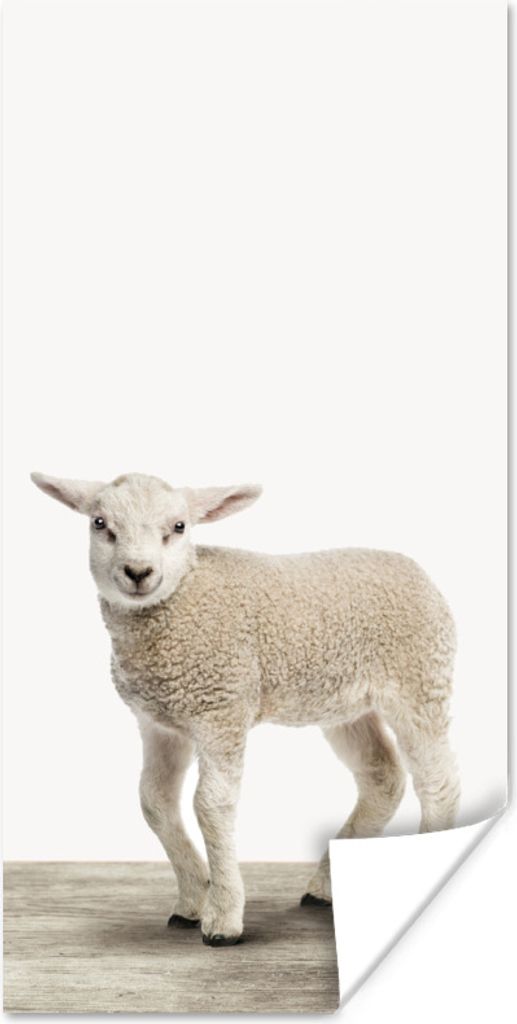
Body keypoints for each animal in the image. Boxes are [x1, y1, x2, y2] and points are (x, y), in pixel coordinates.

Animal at [31, 470, 460, 947]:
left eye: (179, 527)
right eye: (100, 523)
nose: (139, 572)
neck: (182, 598)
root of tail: (415, 569)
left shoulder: (222, 708)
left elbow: (210, 805)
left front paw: (222, 917)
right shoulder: (159, 722)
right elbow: (154, 802)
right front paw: (192, 899)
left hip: (419, 679)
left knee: (438, 780)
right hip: (346, 703)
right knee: (382, 776)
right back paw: (324, 887)